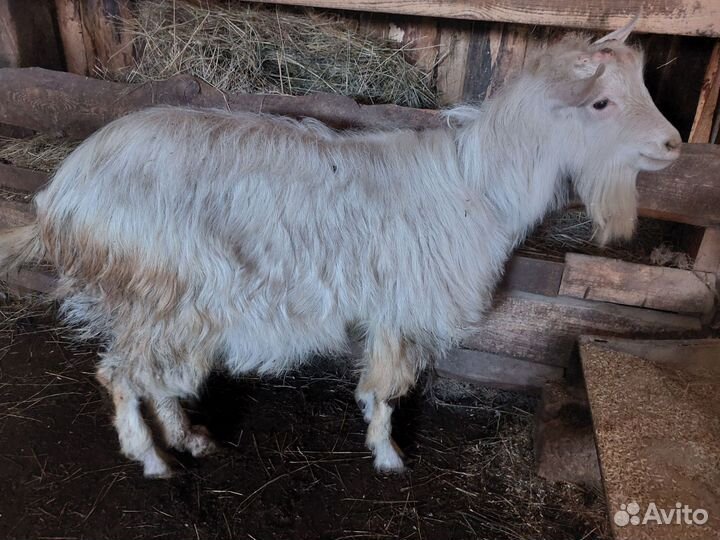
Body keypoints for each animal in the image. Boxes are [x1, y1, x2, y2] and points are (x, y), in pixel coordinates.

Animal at [0, 18, 681, 477]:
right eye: (601, 103)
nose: (673, 145)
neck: (478, 186)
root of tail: (62, 191)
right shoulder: (405, 303)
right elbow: (386, 387)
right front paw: (390, 455)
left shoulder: (389, 305)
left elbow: (378, 379)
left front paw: (381, 446)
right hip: (159, 287)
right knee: (120, 374)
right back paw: (152, 459)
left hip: (171, 303)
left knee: (155, 374)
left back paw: (189, 438)